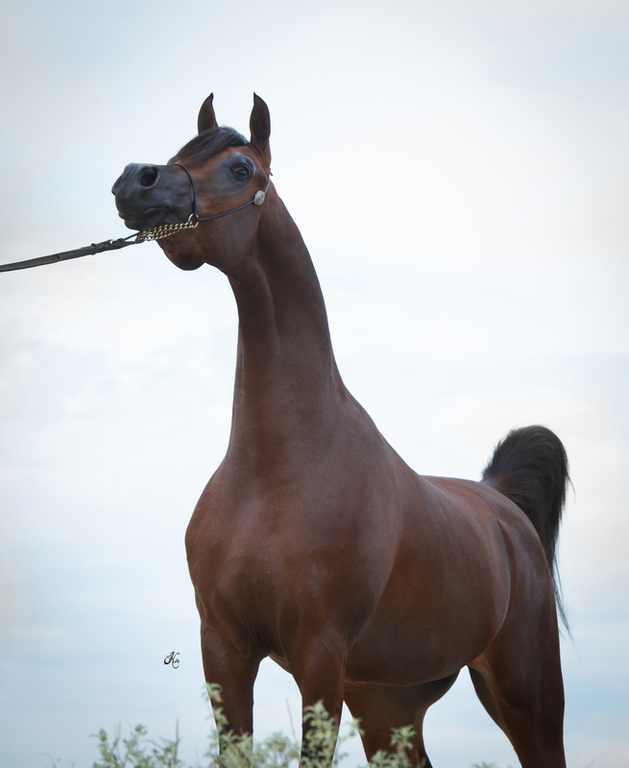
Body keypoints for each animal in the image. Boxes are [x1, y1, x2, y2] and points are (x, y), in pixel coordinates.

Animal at [112, 93, 569, 767]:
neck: (277, 464)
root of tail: (501, 503)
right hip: (387, 703)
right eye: (179, 153)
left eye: (242, 169)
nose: (135, 180)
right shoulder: (224, 650)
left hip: (526, 692)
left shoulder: (319, 656)